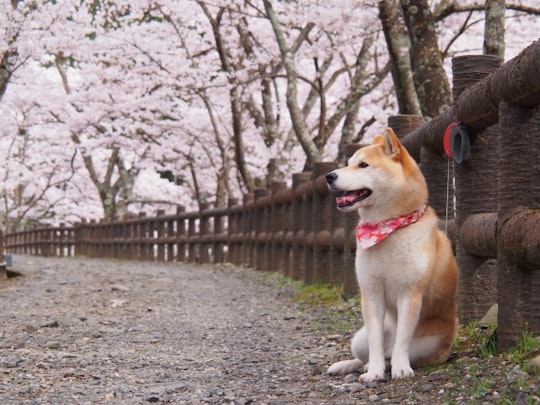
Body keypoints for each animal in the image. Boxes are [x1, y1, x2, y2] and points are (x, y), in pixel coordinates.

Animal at [324, 128, 460, 380]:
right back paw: (355, 365)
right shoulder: (371, 293)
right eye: (349, 163)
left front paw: (401, 369)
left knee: (395, 351)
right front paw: (374, 373)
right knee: (365, 354)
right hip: (358, 340)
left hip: (427, 344)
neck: (387, 230)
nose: (329, 176)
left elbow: (401, 341)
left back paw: (387, 364)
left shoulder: (410, 294)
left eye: (363, 165)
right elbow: (375, 341)